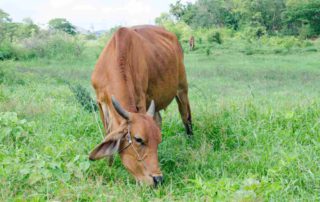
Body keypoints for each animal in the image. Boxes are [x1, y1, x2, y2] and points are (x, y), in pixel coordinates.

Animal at [89, 25, 191, 186]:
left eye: (158, 141)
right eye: (138, 139)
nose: (158, 179)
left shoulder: (142, 99)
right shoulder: (100, 102)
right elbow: (107, 132)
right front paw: (109, 164)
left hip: (182, 88)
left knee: (185, 116)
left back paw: (190, 140)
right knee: (159, 119)